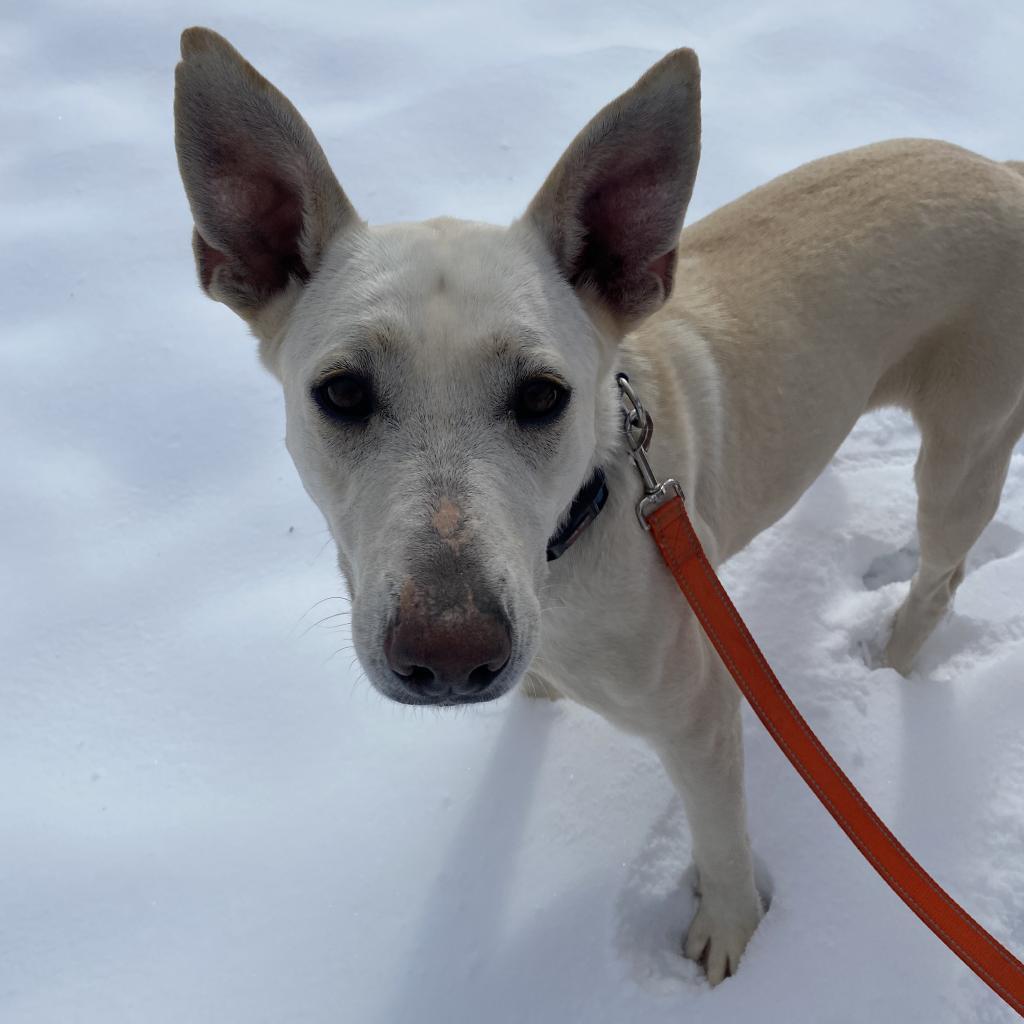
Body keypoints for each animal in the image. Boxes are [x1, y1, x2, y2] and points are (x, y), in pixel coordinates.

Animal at [172, 25, 1024, 983]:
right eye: (344, 392)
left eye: (544, 396)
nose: (451, 655)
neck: (575, 537)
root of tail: (1003, 169)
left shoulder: (702, 718)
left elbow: (721, 840)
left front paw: (728, 933)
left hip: (965, 451)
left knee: (944, 573)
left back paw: (893, 663)